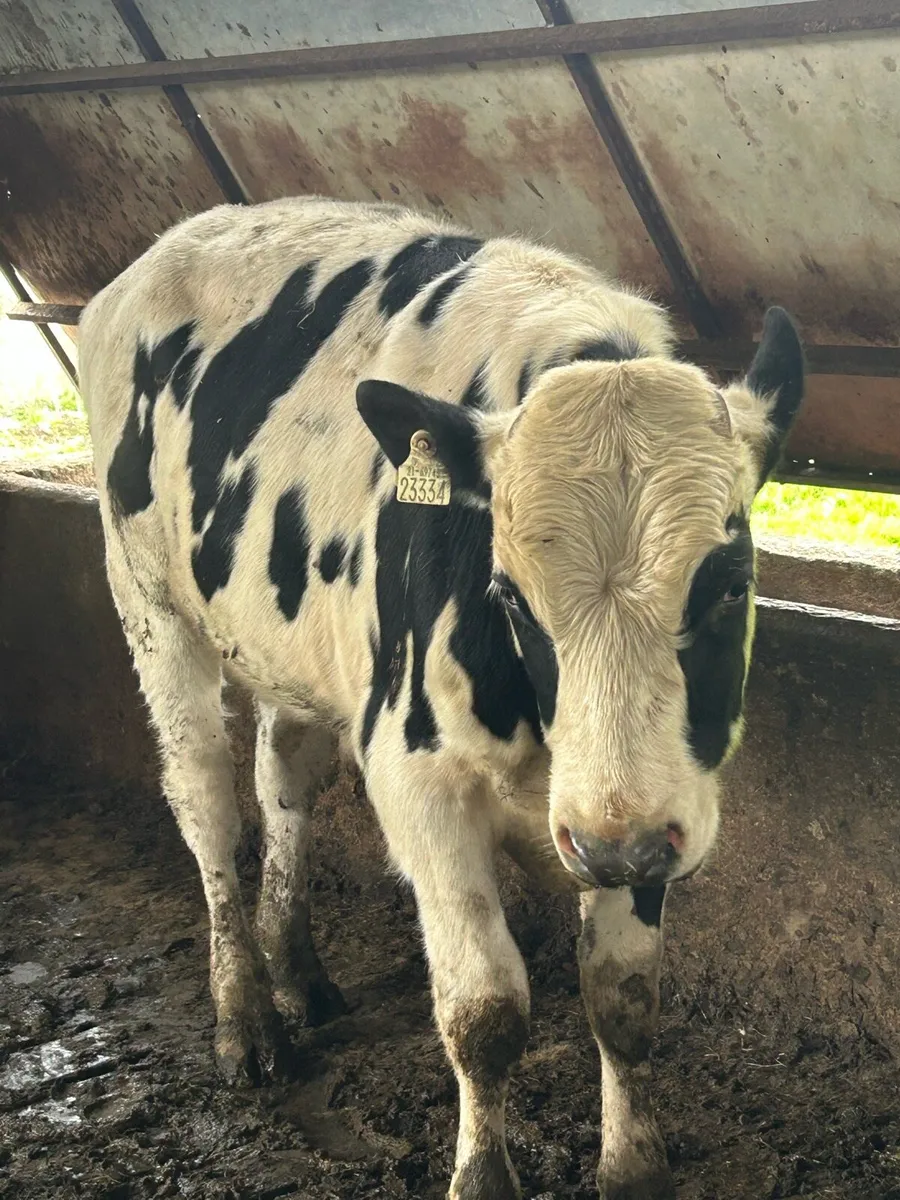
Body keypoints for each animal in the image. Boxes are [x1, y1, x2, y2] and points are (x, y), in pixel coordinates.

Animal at [79, 196, 805, 1200]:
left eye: (731, 585)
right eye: (511, 596)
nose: (613, 848)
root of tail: (162, 253)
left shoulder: (645, 810)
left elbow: (623, 1001)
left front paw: (633, 1169)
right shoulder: (418, 781)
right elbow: (484, 1012)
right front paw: (482, 1176)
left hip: (291, 652)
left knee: (284, 783)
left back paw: (298, 972)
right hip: (149, 603)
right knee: (208, 807)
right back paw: (246, 1018)